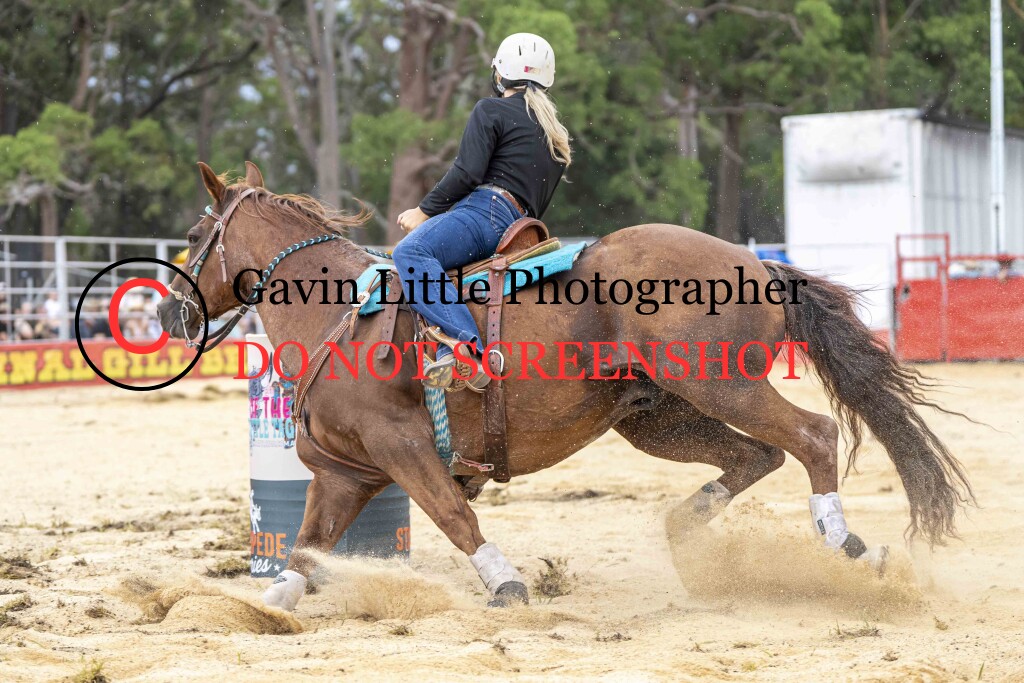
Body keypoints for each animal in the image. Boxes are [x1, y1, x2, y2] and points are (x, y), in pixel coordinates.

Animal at [157, 161, 973, 611]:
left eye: (194, 237)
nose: (169, 311)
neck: (340, 314)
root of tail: (758, 263)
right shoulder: (345, 473)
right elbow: (305, 550)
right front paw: (271, 604)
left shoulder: (404, 448)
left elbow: (455, 517)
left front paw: (507, 584)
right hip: (656, 418)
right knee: (755, 457)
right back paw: (689, 535)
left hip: (722, 387)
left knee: (811, 435)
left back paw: (846, 542)